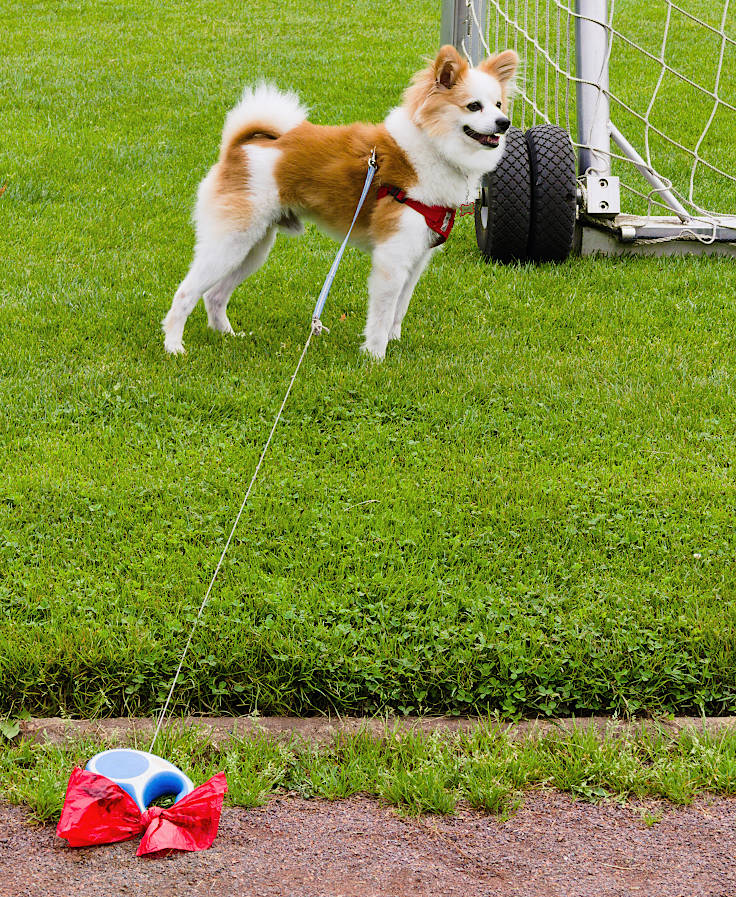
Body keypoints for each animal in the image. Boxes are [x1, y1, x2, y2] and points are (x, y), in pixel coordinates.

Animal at [162, 44, 516, 360]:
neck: (432, 149)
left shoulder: (416, 259)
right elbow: (382, 314)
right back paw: (174, 346)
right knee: (185, 292)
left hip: (253, 247)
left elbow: (400, 309)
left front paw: (394, 341)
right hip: (230, 243)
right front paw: (375, 356)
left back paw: (228, 335)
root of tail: (237, 148)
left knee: (215, 295)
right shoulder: (393, 257)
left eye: (499, 104)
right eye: (474, 106)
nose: (505, 122)